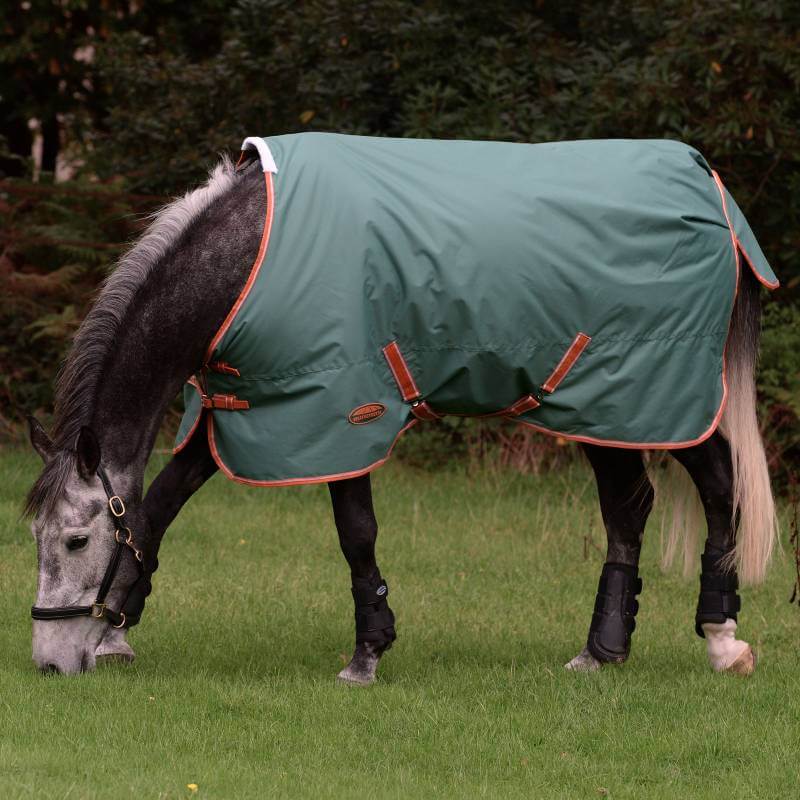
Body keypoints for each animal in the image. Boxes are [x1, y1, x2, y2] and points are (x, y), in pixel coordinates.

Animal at [25, 133, 777, 678]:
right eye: (35, 537)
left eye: (76, 540)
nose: (51, 664)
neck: (251, 257)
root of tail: (710, 187)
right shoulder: (240, 411)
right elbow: (156, 510)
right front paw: (118, 635)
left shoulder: (338, 412)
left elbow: (355, 531)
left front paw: (366, 654)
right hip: (605, 408)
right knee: (629, 510)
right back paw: (602, 651)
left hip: (656, 397)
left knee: (719, 485)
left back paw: (721, 639)